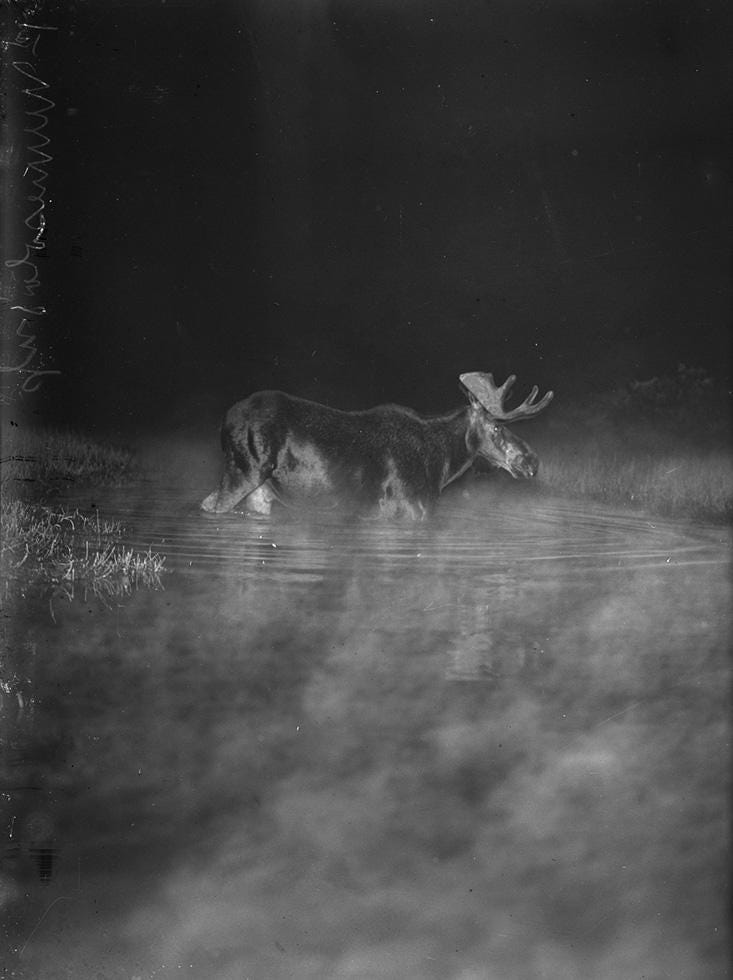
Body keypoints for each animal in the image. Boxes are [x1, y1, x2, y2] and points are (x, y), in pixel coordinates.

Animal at [200, 370, 548, 520]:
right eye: (497, 427)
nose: (532, 461)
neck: (442, 465)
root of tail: (223, 421)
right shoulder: (409, 508)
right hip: (242, 472)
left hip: (260, 492)